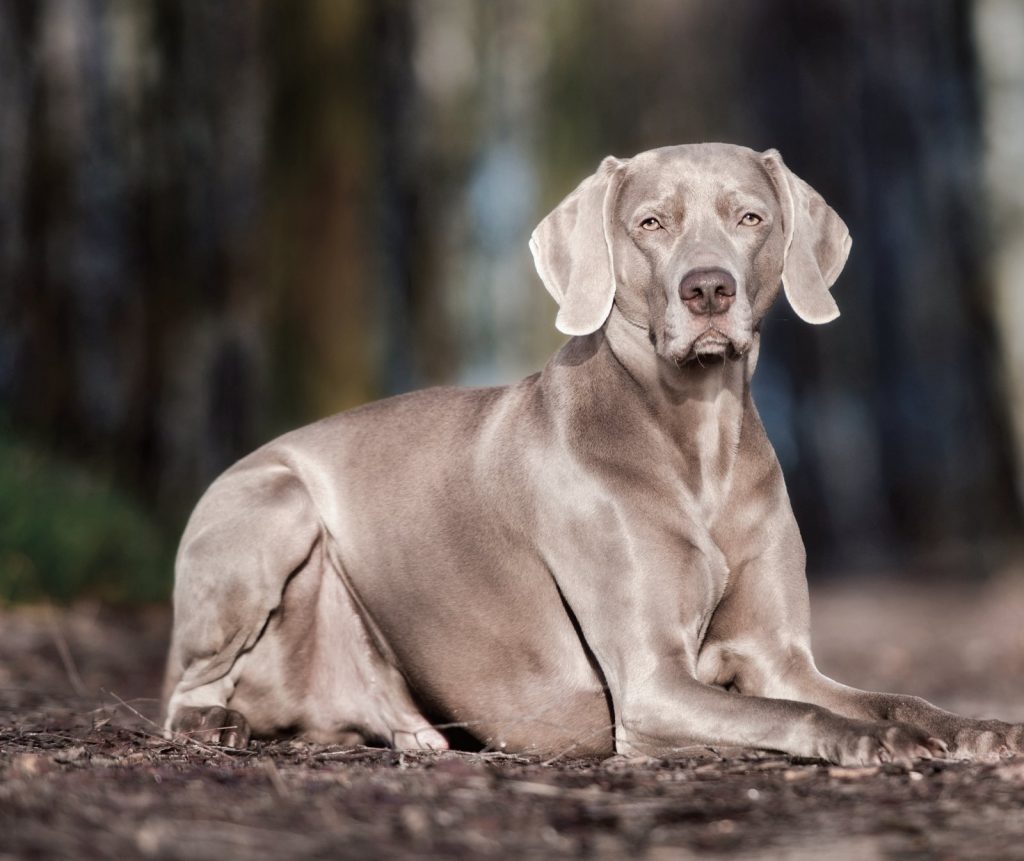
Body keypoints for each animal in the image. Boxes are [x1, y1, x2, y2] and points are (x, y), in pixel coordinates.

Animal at [161, 142, 1024, 765]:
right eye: (650, 223)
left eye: (749, 217)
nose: (707, 290)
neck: (695, 439)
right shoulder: (651, 683)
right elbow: (793, 713)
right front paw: (878, 741)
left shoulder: (781, 655)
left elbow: (879, 695)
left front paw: (977, 726)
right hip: (274, 503)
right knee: (182, 687)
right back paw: (215, 724)